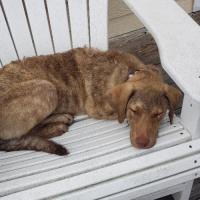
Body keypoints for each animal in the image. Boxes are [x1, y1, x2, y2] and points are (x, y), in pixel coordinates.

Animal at [0, 47, 181, 155]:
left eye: (158, 114)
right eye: (134, 110)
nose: (142, 144)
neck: (131, 72)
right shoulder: (97, 109)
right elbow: (119, 114)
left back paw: (61, 117)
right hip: (46, 88)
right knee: (21, 133)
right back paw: (56, 126)